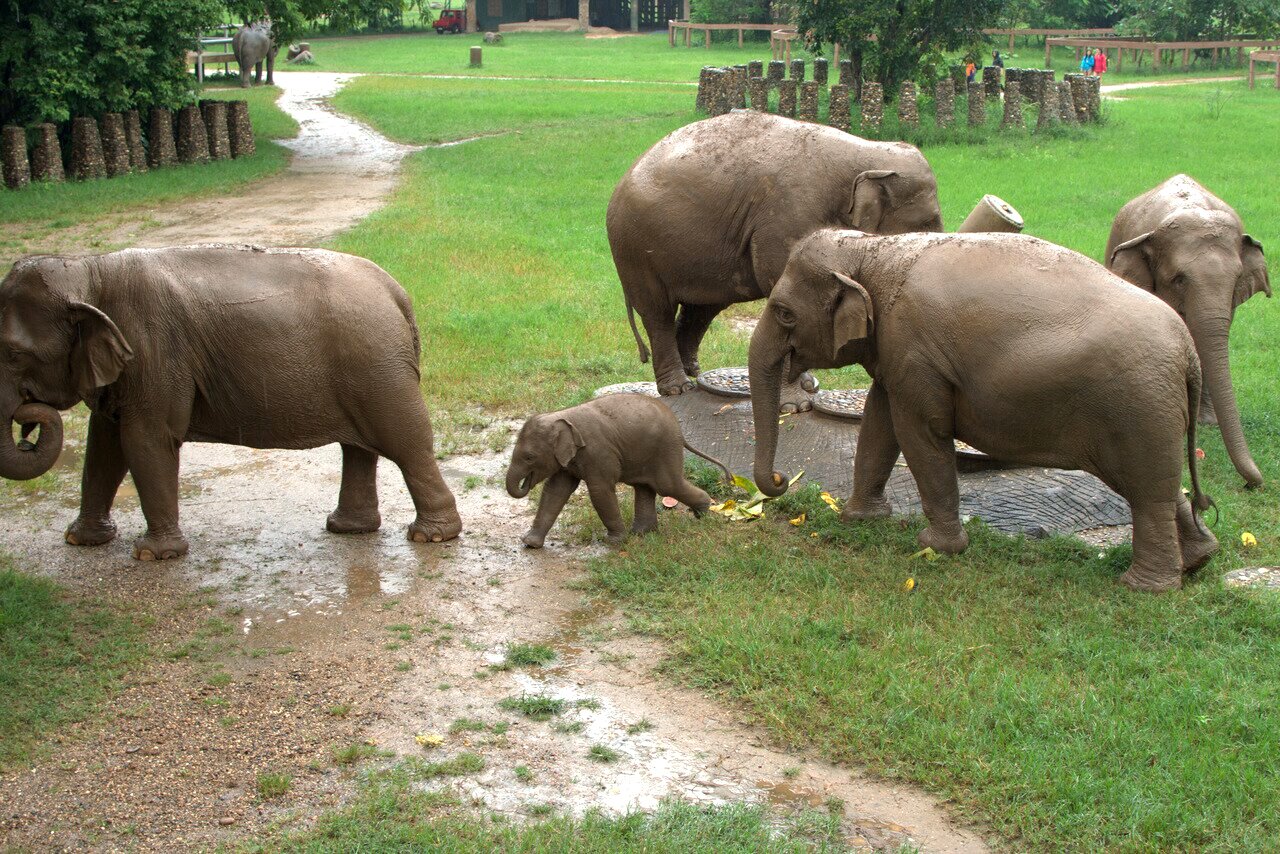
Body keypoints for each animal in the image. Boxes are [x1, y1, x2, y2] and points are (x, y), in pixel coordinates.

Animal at [0, 245, 462, 560]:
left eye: (13, 353)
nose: (25, 430)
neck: (88, 269)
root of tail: (397, 293)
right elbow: (104, 446)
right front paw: (80, 540)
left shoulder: (154, 354)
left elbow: (146, 440)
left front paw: (153, 555)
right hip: (367, 368)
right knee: (360, 447)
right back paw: (347, 529)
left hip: (378, 366)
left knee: (406, 442)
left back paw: (431, 536)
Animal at [505, 394, 730, 548]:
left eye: (529, 457)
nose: (524, 484)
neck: (562, 415)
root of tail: (680, 431)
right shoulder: (566, 459)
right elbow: (555, 491)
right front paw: (530, 543)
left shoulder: (599, 452)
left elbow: (600, 491)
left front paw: (614, 542)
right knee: (645, 487)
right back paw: (642, 533)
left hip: (666, 447)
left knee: (667, 485)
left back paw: (703, 512)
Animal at [605, 111, 945, 406]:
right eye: (927, 223)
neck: (864, 150)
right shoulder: (788, 219)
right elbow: (784, 296)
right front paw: (795, 405)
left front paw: (808, 386)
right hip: (634, 248)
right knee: (657, 311)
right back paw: (677, 387)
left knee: (702, 307)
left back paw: (693, 372)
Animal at [748, 229, 1218, 592]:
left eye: (784, 314)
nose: (782, 479)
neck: (872, 249)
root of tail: (1189, 352)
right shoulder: (896, 353)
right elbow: (879, 423)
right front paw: (859, 520)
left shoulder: (914, 349)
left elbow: (919, 432)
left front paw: (936, 547)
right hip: (1147, 410)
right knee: (1156, 483)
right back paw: (1198, 560)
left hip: (1138, 405)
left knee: (1146, 489)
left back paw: (1145, 587)